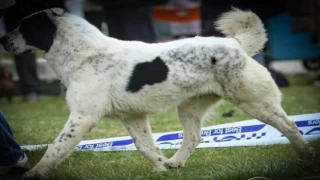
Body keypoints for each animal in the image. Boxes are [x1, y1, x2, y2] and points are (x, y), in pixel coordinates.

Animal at [0, 8, 316, 177]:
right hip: (189, 107)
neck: (86, 55)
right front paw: (162, 167)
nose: (2, 39)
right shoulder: (133, 117)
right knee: (194, 137)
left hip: (254, 101)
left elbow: (56, 148)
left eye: (24, 27)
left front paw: (33, 173)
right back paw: (175, 163)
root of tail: (237, 44)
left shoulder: (82, 117)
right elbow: (145, 146)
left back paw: (305, 156)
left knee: (289, 125)